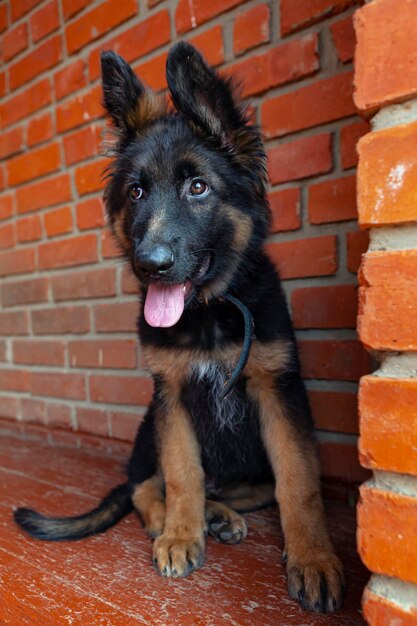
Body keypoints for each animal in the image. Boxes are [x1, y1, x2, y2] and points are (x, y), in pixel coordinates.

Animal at [13, 45, 344, 616]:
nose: (151, 265)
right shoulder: (170, 395)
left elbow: (297, 482)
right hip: (148, 424)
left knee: (248, 487)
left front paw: (312, 559)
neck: (208, 312)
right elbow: (181, 473)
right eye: (136, 192)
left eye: (198, 188)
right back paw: (182, 519)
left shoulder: (279, 390)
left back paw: (222, 514)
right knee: (143, 484)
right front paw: (180, 535)